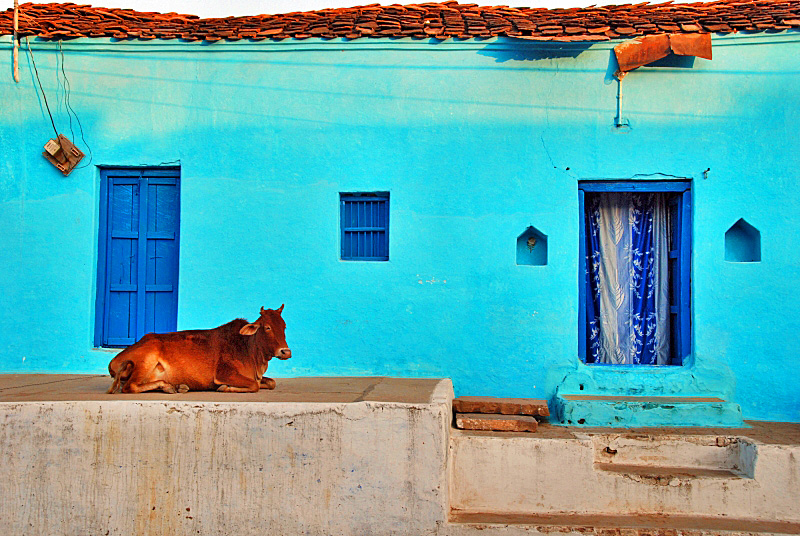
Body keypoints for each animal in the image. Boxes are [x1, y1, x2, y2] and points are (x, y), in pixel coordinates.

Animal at [106, 306, 290, 394]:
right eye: (267, 327)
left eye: (284, 326)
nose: (286, 352)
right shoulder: (225, 373)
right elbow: (254, 385)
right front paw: (224, 388)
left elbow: (271, 383)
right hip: (148, 358)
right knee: (129, 387)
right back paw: (170, 387)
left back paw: (176, 386)